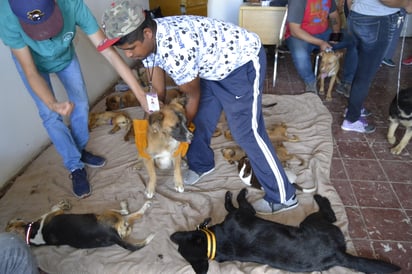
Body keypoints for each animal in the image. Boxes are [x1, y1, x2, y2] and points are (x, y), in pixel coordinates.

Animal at [5, 199, 154, 250]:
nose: (14, 218)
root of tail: (112, 236)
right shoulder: (52, 214)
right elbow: (55, 208)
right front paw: (63, 204)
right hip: (105, 214)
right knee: (128, 213)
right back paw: (140, 206)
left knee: (129, 218)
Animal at [169, 188, 400, 274]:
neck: (217, 241)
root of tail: (339, 255)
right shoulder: (245, 212)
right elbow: (236, 203)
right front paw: (238, 193)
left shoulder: (242, 213)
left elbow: (231, 204)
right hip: (312, 222)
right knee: (331, 215)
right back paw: (320, 198)